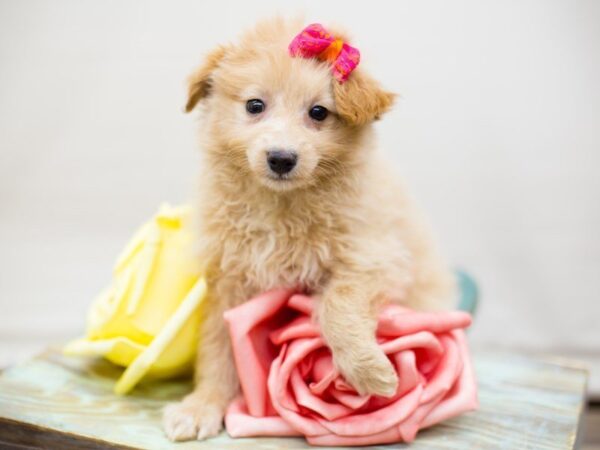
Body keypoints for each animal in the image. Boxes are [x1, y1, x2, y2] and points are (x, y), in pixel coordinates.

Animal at [164, 19, 454, 442]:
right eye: (254, 105)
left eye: (319, 112)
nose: (281, 159)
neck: (279, 208)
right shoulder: (228, 282)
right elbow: (218, 348)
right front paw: (202, 406)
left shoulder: (373, 258)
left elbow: (337, 306)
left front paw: (368, 371)